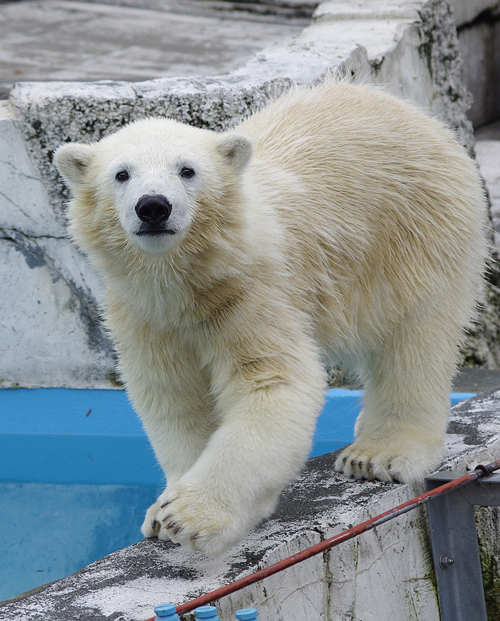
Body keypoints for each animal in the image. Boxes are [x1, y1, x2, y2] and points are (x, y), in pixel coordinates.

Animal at [55, 83, 488, 556]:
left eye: (187, 170)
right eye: (121, 174)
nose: (153, 206)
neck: (189, 280)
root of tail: (410, 111)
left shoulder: (251, 293)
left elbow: (271, 385)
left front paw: (187, 517)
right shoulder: (146, 315)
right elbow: (174, 397)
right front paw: (159, 512)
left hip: (412, 232)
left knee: (413, 337)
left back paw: (378, 455)